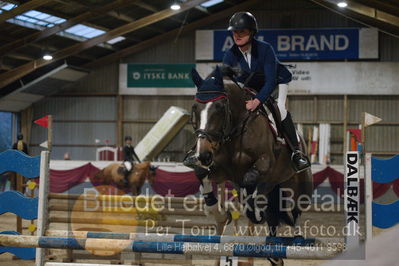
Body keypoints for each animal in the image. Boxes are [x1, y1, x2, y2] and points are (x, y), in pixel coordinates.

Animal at [186, 66, 314, 262]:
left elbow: (250, 179)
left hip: (296, 183)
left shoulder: (264, 162)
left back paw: (297, 238)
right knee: (273, 213)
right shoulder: (222, 170)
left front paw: (254, 212)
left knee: (296, 207)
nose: (203, 154)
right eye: (195, 108)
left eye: (219, 108)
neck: (237, 128)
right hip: (273, 186)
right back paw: (273, 251)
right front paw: (218, 213)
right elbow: (201, 173)